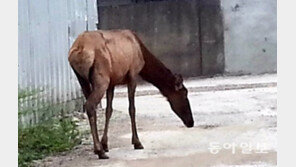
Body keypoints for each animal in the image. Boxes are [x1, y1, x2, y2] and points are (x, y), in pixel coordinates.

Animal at [68, 30, 195, 159]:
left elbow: (109, 110)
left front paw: (105, 144)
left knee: (90, 106)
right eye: (184, 94)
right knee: (90, 105)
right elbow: (132, 109)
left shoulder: (113, 81)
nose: (191, 122)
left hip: (82, 79)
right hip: (101, 78)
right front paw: (137, 142)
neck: (142, 53)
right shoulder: (133, 74)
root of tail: (78, 50)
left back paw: (98, 148)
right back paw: (99, 151)